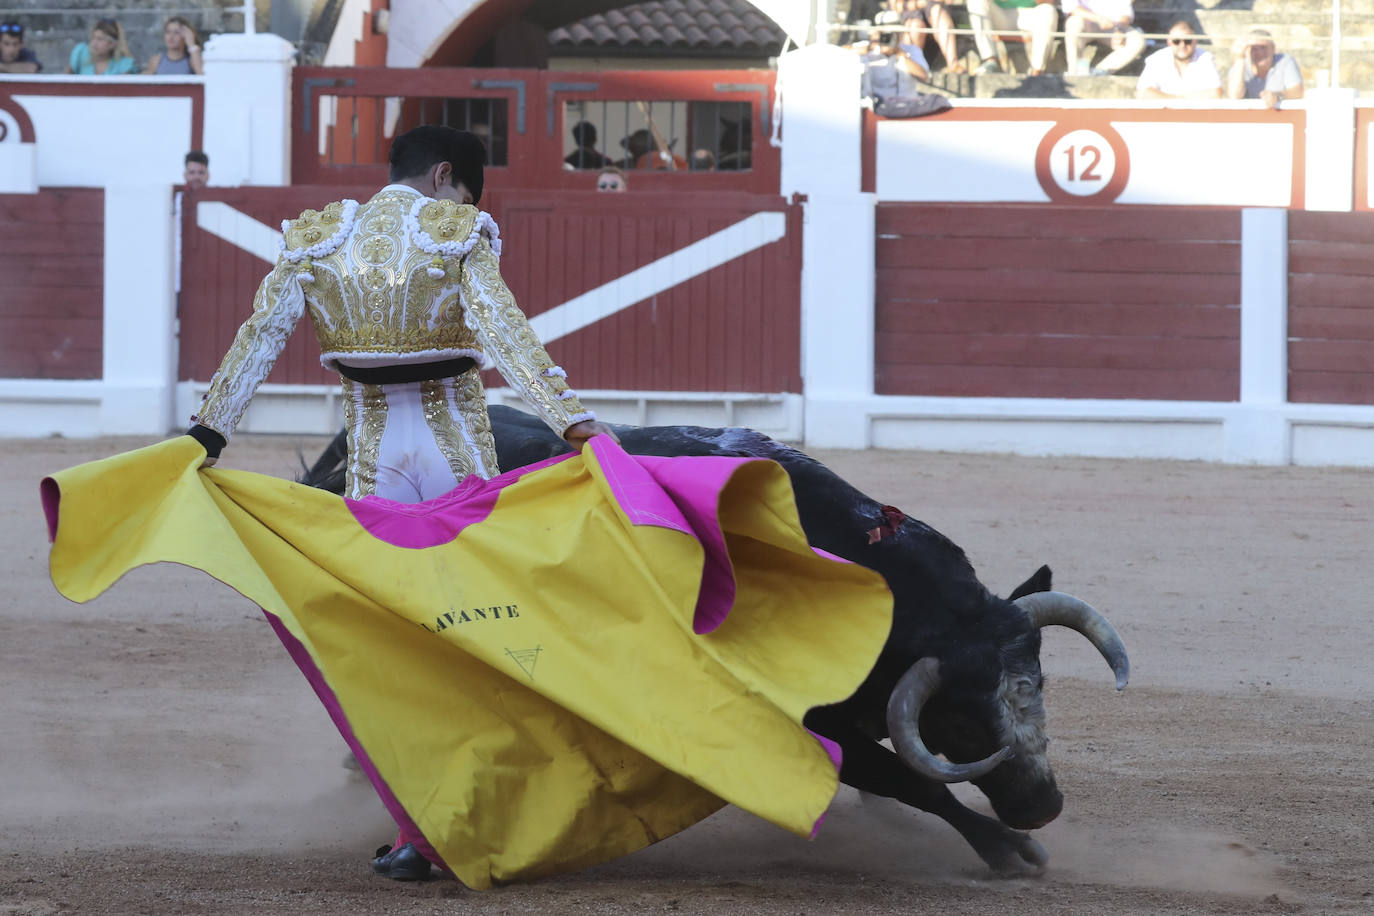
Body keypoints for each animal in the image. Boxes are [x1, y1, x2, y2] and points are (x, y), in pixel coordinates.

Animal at [298, 409, 1126, 873]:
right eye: (962, 722)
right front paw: (1007, 851)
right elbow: (910, 779)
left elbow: (898, 777)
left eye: (1040, 691)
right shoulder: (803, 722)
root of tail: (344, 454)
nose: (1041, 806)